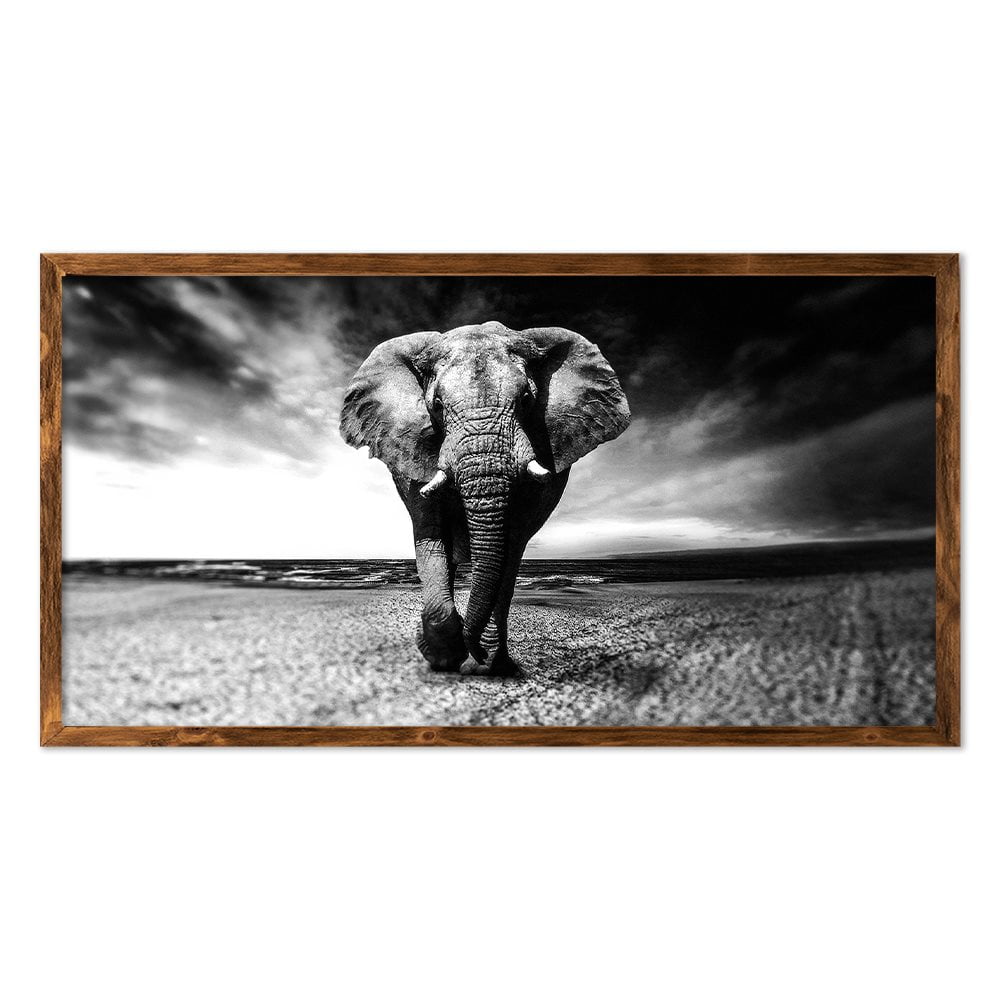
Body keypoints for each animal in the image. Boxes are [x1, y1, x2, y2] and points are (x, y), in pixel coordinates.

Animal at [339, 320, 630, 675]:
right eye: (437, 406)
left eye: (527, 400)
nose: (473, 650)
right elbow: (430, 533)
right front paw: (443, 657)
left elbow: (511, 543)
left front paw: (484, 663)